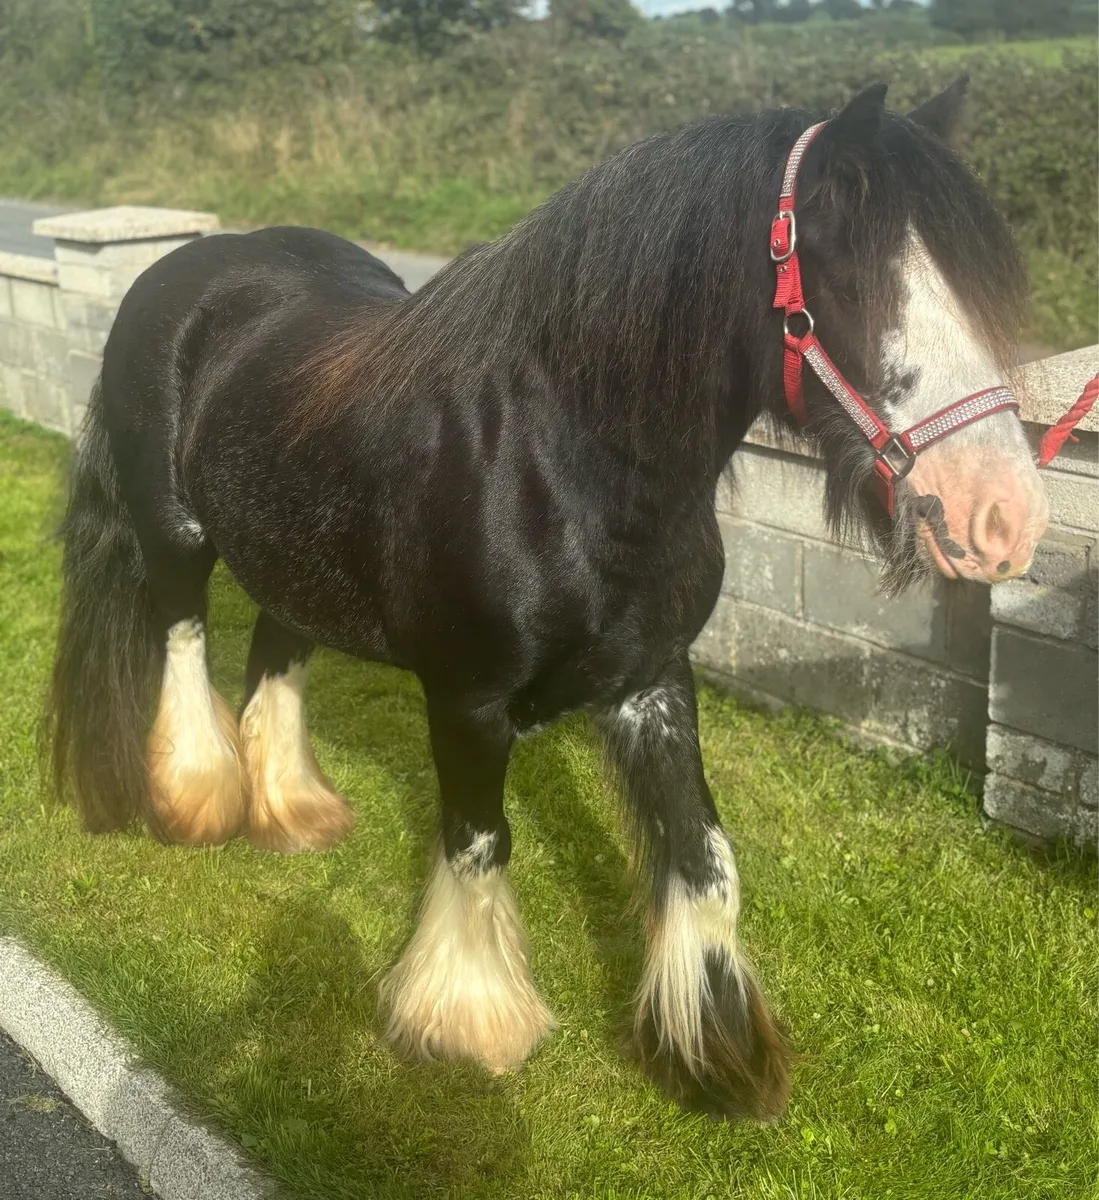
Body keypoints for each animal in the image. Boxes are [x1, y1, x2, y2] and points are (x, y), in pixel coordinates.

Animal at [45, 78, 1049, 1121]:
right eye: (849, 280)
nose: (1003, 518)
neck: (557, 462)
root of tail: (194, 267)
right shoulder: (467, 703)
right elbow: (481, 843)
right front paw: (468, 1024)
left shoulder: (654, 682)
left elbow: (708, 862)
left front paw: (715, 1053)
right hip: (176, 539)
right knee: (184, 640)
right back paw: (196, 799)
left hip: (291, 546)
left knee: (276, 651)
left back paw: (291, 811)